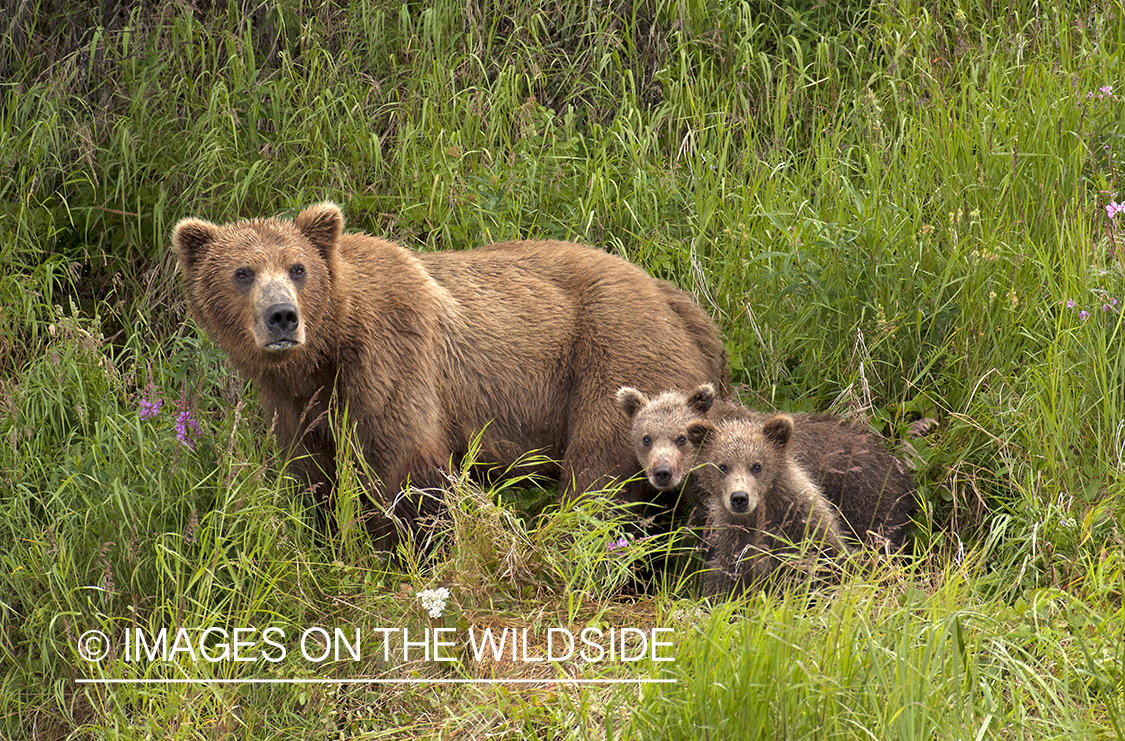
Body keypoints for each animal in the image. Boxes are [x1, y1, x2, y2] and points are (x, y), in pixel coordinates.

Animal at [169, 202, 724, 544]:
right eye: (242, 272)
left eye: (298, 268)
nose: (282, 316)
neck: (326, 349)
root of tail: (680, 303)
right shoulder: (296, 402)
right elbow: (312, 473)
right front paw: (326, 533)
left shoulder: (392, 356)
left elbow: (406, 467)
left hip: (613, 353)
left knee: (597, 472)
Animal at [693, 413, 850, 598]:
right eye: (722, 466)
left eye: (757, 466)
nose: (739, 498)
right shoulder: (735, 543)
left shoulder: (803, 523)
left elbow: (828, 562)